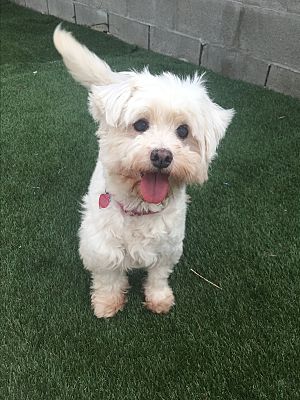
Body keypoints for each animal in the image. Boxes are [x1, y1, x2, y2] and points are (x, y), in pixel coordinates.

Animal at [52, 25, 233, 318]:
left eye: (183, 131)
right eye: (140, 124)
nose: (162, 156)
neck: (140, 208)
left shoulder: (168, 248)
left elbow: (158, 276)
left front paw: (159, 299)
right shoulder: (101, 248)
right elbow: (108, 278)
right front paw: (107, 303)